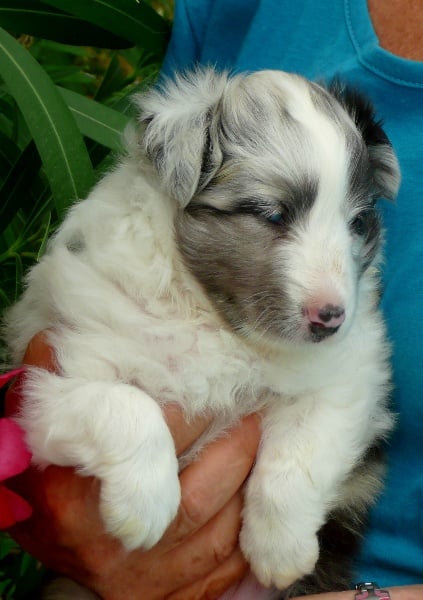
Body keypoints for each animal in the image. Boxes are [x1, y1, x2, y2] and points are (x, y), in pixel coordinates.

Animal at [3, 68, 400, 596]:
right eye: (273, 214)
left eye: (357, 223)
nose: (331, 317)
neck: (215, 319)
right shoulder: (48, 375)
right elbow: (126, 405)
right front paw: (145, 505)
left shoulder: (347, 379)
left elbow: (299, 458)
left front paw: (281, 550)